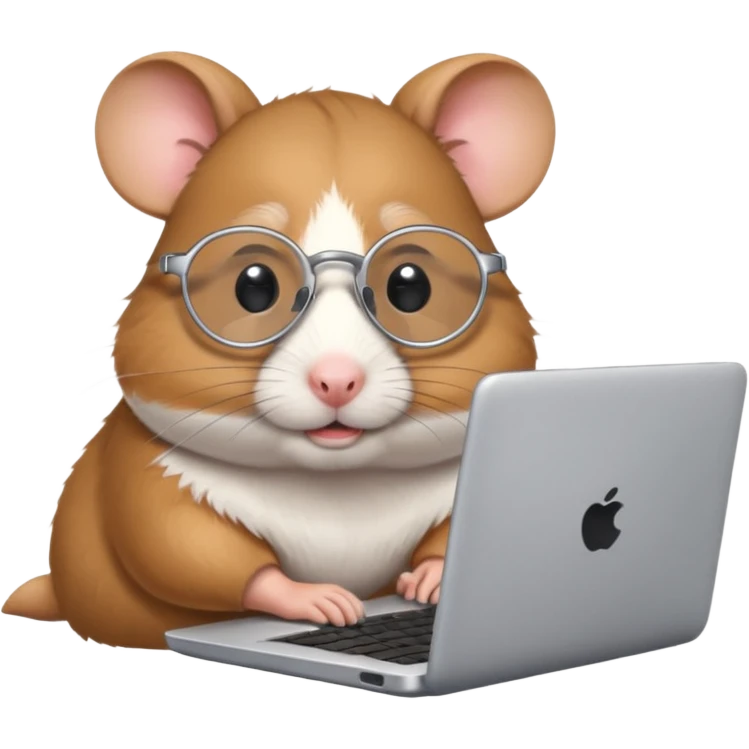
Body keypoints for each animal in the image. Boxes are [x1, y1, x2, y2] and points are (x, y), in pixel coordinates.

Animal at [2, 50, 556, 650]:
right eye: (254, 285)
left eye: (411, 286)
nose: (336, 380)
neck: (336, 484)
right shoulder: (149, 474)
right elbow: (184, 547)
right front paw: (321, 600)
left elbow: (454, 534)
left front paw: (430, 582)